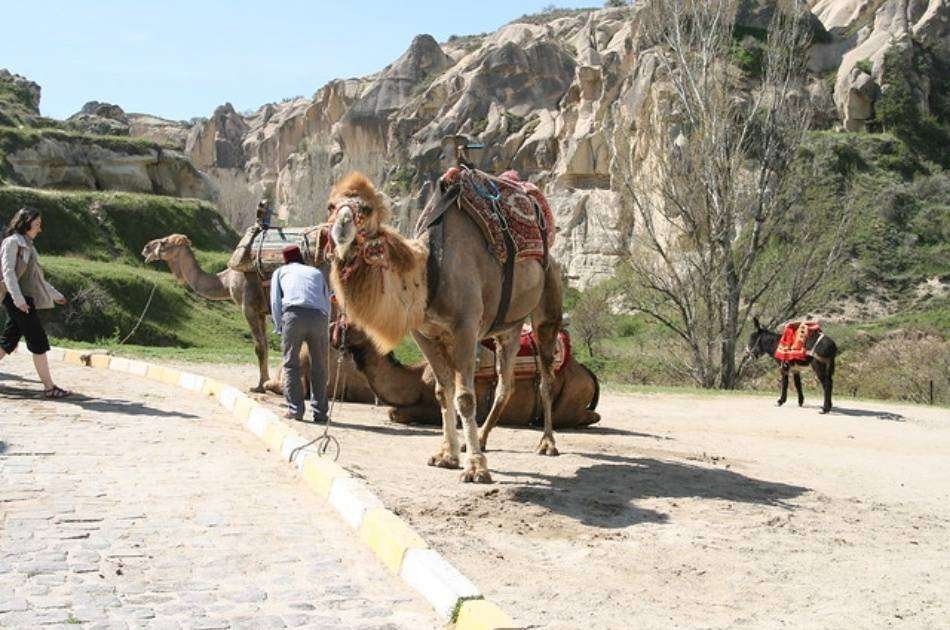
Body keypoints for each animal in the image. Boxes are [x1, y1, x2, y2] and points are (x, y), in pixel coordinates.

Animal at [328, 172, 564, 484]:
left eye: (366, 210)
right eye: (331, 206)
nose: (342, 227)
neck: (429, 271)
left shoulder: (465, 328)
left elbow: (465, 397)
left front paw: (476, 468)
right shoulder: (424, 334)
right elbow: (443, 391)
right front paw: (447, 455)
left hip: (548, 302)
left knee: (546, 377)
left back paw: (547, 443)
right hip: (509, 327)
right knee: (506, 382)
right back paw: (481, 439)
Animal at [338, 324, 600, 432]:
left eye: (350, 325)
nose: (334, 332)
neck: (416, 380)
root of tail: (588, 373)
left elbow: (395, 412)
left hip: (572, 395)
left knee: (587, 416)